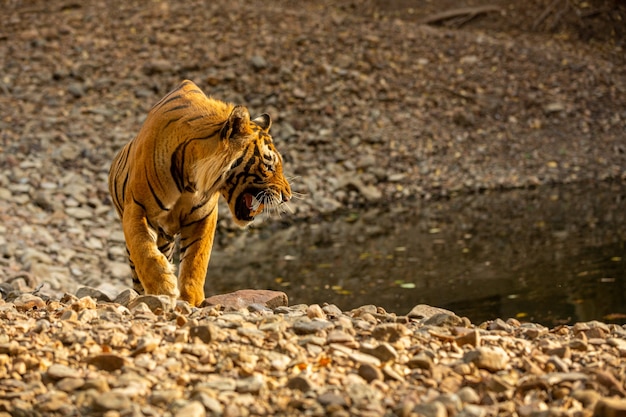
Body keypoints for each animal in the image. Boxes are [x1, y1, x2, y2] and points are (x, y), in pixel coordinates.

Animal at [108, 79, 292, 306]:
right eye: (269, 166)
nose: (288, 196)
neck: (189, 177)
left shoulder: (203, 216)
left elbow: (196, 260)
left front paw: (192, 300)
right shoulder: (137, 208)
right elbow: (144, 250)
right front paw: (163, 288)